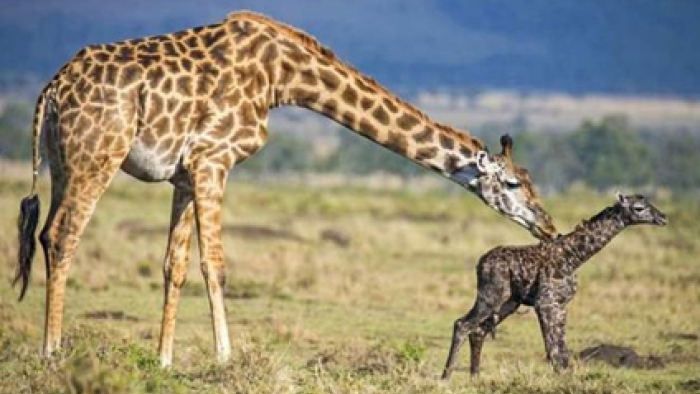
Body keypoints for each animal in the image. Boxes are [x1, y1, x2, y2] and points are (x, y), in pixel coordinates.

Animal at [15, 11, 556, 366]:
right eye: (513, 183)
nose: (547, 226)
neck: (283, 76)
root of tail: (53, 89)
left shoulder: (186, 173)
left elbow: (175, 266)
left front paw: (164, 361)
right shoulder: (214, 158)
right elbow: (216, 264)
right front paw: (225, 357)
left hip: (65, 163)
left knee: (44, 234)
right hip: (98, 157)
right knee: (62, 237)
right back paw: (50, 352)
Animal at [442, 194, 668, 378]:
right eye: (639, 208)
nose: (663, 218)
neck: (574, 257)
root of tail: (480, 263)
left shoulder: (561, 305)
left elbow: (562, 347)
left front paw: (566, 377)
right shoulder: (545, 303)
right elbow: (552, 347)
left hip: (509, 302)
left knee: (478, 331)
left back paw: (475, 378)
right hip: (491, 295)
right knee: (462, 324)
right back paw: (446, 377)